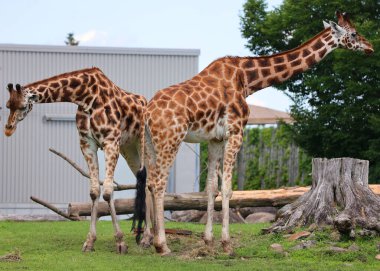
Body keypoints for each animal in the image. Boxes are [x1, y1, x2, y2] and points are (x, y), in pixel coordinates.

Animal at [4, 67, 151, 254]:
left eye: (23, 106)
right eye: (8, 105)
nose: (8, 129)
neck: (86, 97)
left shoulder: (110, 142)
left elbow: (108, 191)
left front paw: (120, 242)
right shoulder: (87, 144)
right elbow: (94, 192)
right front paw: (89, 242)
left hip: (143, 145)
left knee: (150, 184)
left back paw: (147, 238)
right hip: (129, 149)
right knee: (145, 183)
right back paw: (148, 236)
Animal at [137, 10, 374, 256]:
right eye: (354, 33)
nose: (370, 47)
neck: (248, 79)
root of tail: (148, 113)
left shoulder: (215, 138)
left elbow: (211, 189)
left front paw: (208, 241)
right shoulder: (236, 131)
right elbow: (228, 189)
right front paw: (227, 243)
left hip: (151, 144)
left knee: (149, 183)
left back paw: (147, 240)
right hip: (170, 140)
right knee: (159, 183)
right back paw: (162, 245)